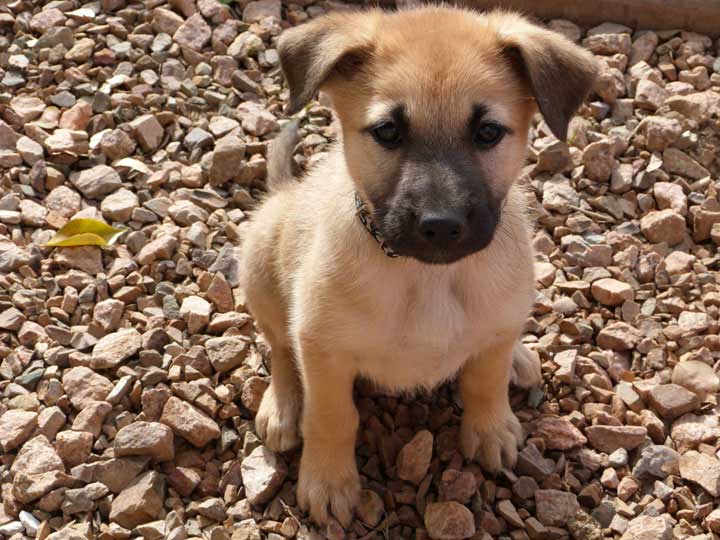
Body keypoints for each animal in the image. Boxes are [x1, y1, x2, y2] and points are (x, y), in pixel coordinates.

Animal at [242, 4, 596, 528]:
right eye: (388, 132)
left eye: (488, 132)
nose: (441, 226)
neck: (428, 275)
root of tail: (285, 191)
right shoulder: (322, 348)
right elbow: (332, 417)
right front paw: (328, 481)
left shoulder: (492, 329)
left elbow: (484, 382)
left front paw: (490, 429)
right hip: (261, 270)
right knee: (281, 349)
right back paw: (283, 406)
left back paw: (519, 357)